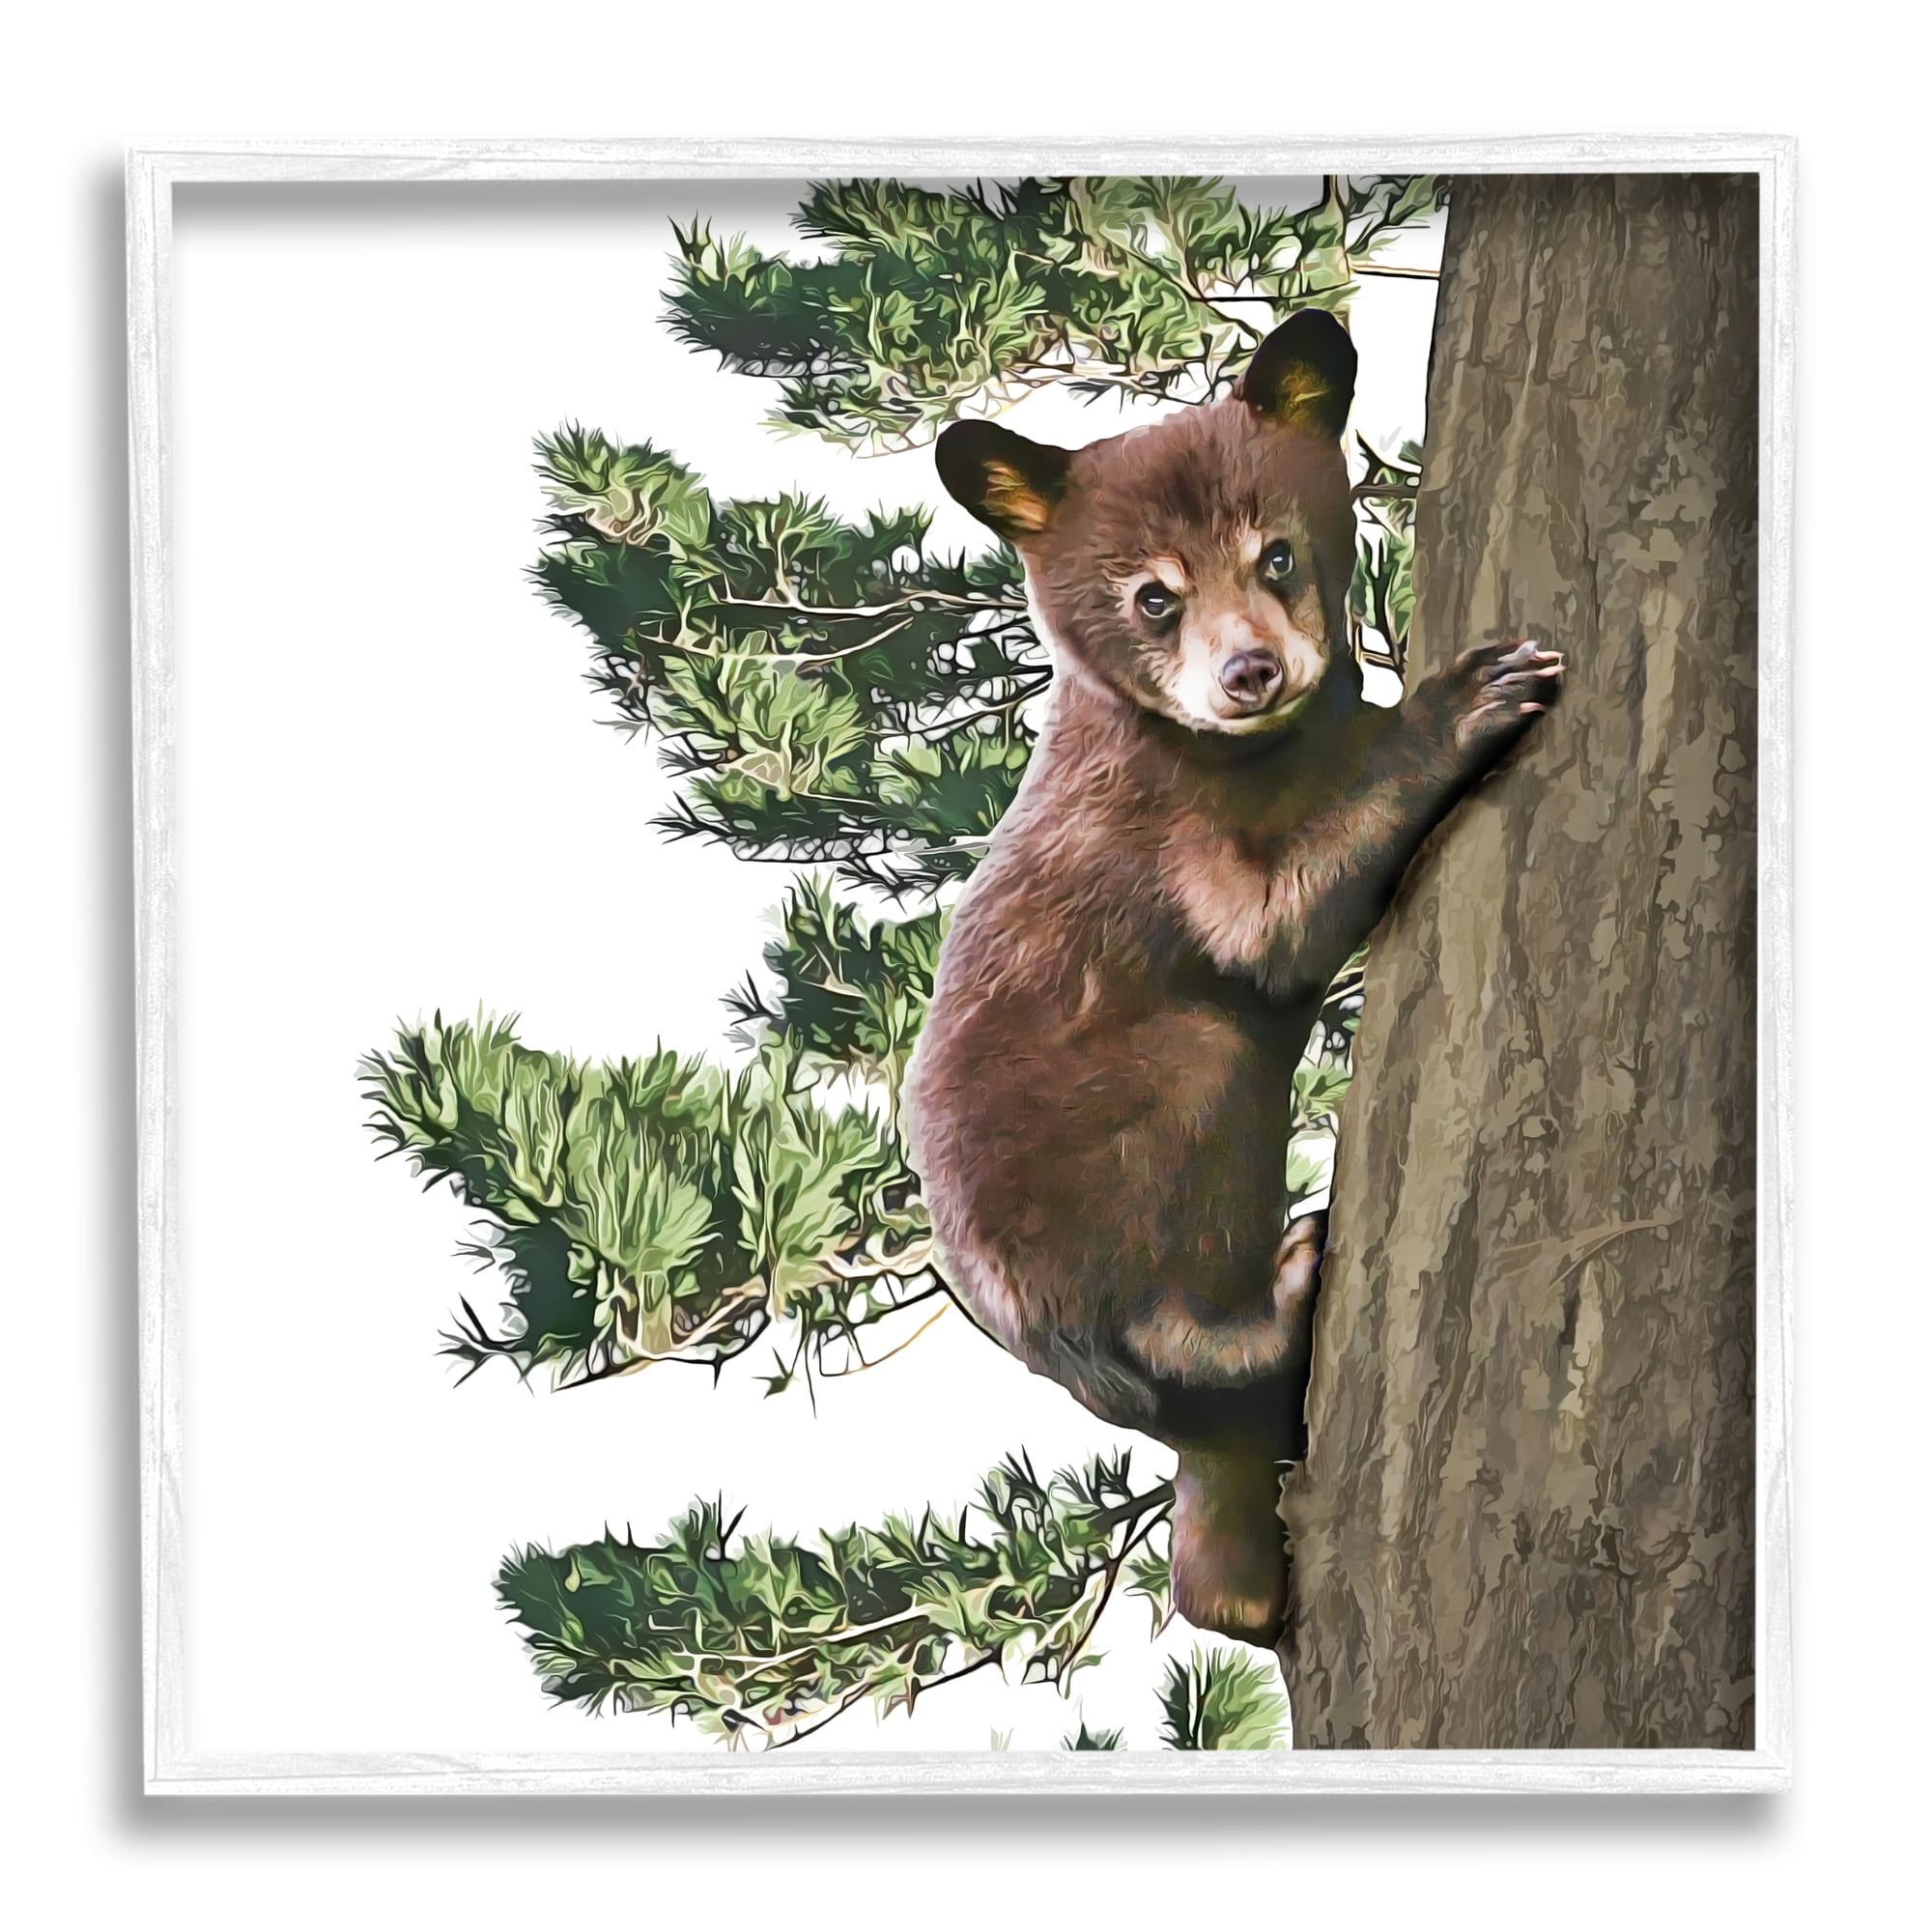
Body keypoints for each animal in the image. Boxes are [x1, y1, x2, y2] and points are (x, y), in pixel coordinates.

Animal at [903, 310, 1561, 1649]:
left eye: (1277, 555)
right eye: (1152, 596)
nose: (1248, 672)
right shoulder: (1158, 826)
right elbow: (1271, 922)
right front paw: (1468, 695)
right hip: (1111, 1167)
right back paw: (1283, 1292)